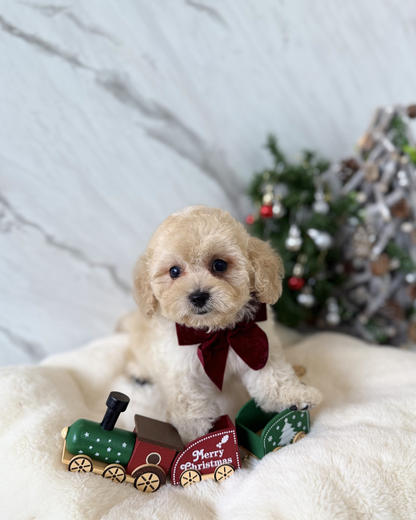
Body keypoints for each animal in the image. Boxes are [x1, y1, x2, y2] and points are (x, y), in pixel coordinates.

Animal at [127, 206, 322, 442]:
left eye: (219, 265)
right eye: (174, 271)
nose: (198, 296)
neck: (216, 331)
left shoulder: (257, 345)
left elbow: (273, 377)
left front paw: (292, 395)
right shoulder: (176, 361)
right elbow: (185, 391)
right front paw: (193, 426)